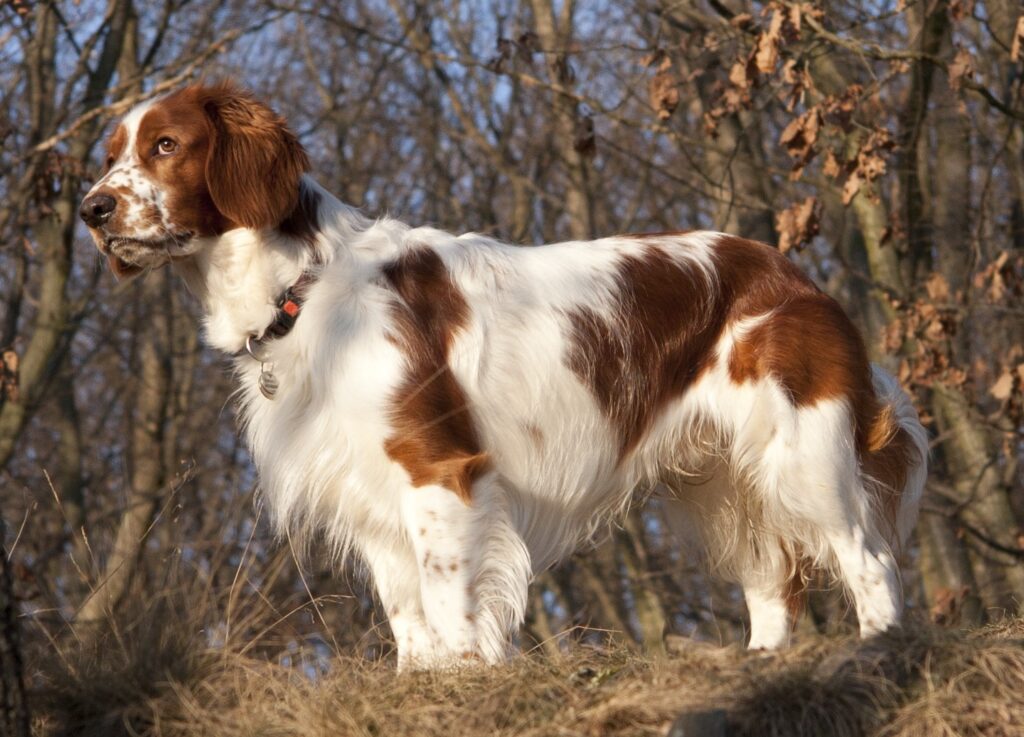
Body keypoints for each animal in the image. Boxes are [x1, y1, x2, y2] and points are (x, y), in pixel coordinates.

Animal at [79, 83, 929, 671]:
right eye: (113, 152)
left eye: (166, 145)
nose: (91, 209)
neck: (305, 285)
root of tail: (797, 275)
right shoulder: (367, 490)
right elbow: (407, 614)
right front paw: (421, 681)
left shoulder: (438, 468)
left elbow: (449, 600)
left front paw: (464, 676)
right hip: (722, 479)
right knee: (772, 580)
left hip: (802, 452)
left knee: (869, 558)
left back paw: (881, 650)